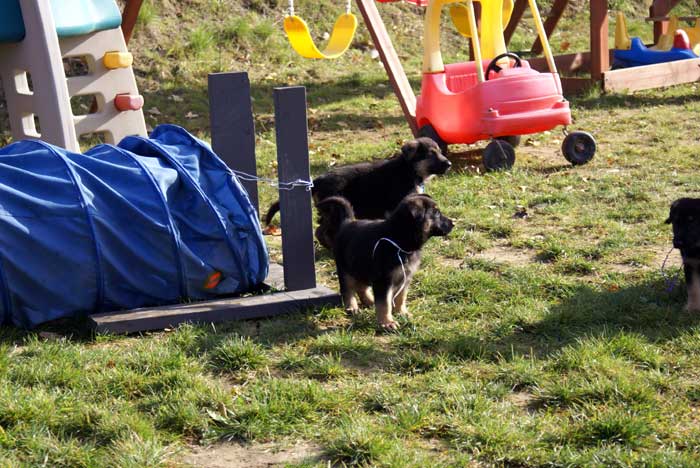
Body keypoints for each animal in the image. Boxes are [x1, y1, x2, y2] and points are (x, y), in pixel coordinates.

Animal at [318, 192, 454, 330]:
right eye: (436, 213)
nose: (453, 223)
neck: (399, 238)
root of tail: (347, 222)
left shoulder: (405, 277)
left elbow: (401, 297)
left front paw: (402, 312)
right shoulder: (384, 280)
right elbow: (385, 303)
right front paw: (387, 322)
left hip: (361, 266)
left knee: (361, 286)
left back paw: (369, 301)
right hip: (346, 268)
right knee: (347, 288)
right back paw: (352, 307)